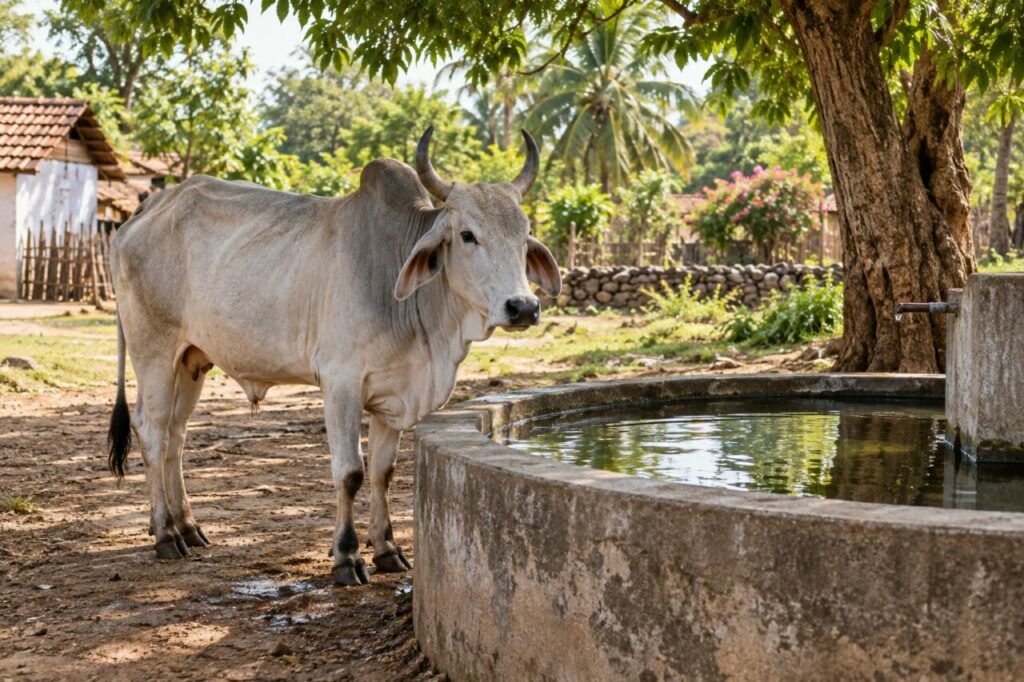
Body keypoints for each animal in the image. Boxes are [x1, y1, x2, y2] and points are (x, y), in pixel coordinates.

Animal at [106, 128, 560, 586]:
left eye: (524, 236)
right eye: (468, 235)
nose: (523, 307)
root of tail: (148, 208)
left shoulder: (394, 392)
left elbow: (382, 472)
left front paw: (387, 550)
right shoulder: (341, 384)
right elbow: (351, 472)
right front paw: (347, 557)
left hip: (191, 360)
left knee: (176, 435)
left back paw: (188, 526)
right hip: (154, 351)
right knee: (152, 429)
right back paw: (166, 534)